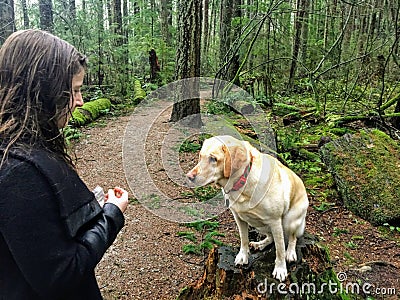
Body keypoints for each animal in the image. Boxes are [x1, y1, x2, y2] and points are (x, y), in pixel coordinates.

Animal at [188, 136, 310, 282]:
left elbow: (280, 249)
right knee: (271, 237)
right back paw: (260, 244)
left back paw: (290, 253)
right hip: (259, 224)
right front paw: (243, 257)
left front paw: (280, 269)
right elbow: (244, 239)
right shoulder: (239, 217)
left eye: (213, 158)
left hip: (289, 221)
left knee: (292, 237)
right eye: (200, 156)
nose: (189, 176)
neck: (242, 182)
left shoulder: (275, 221)